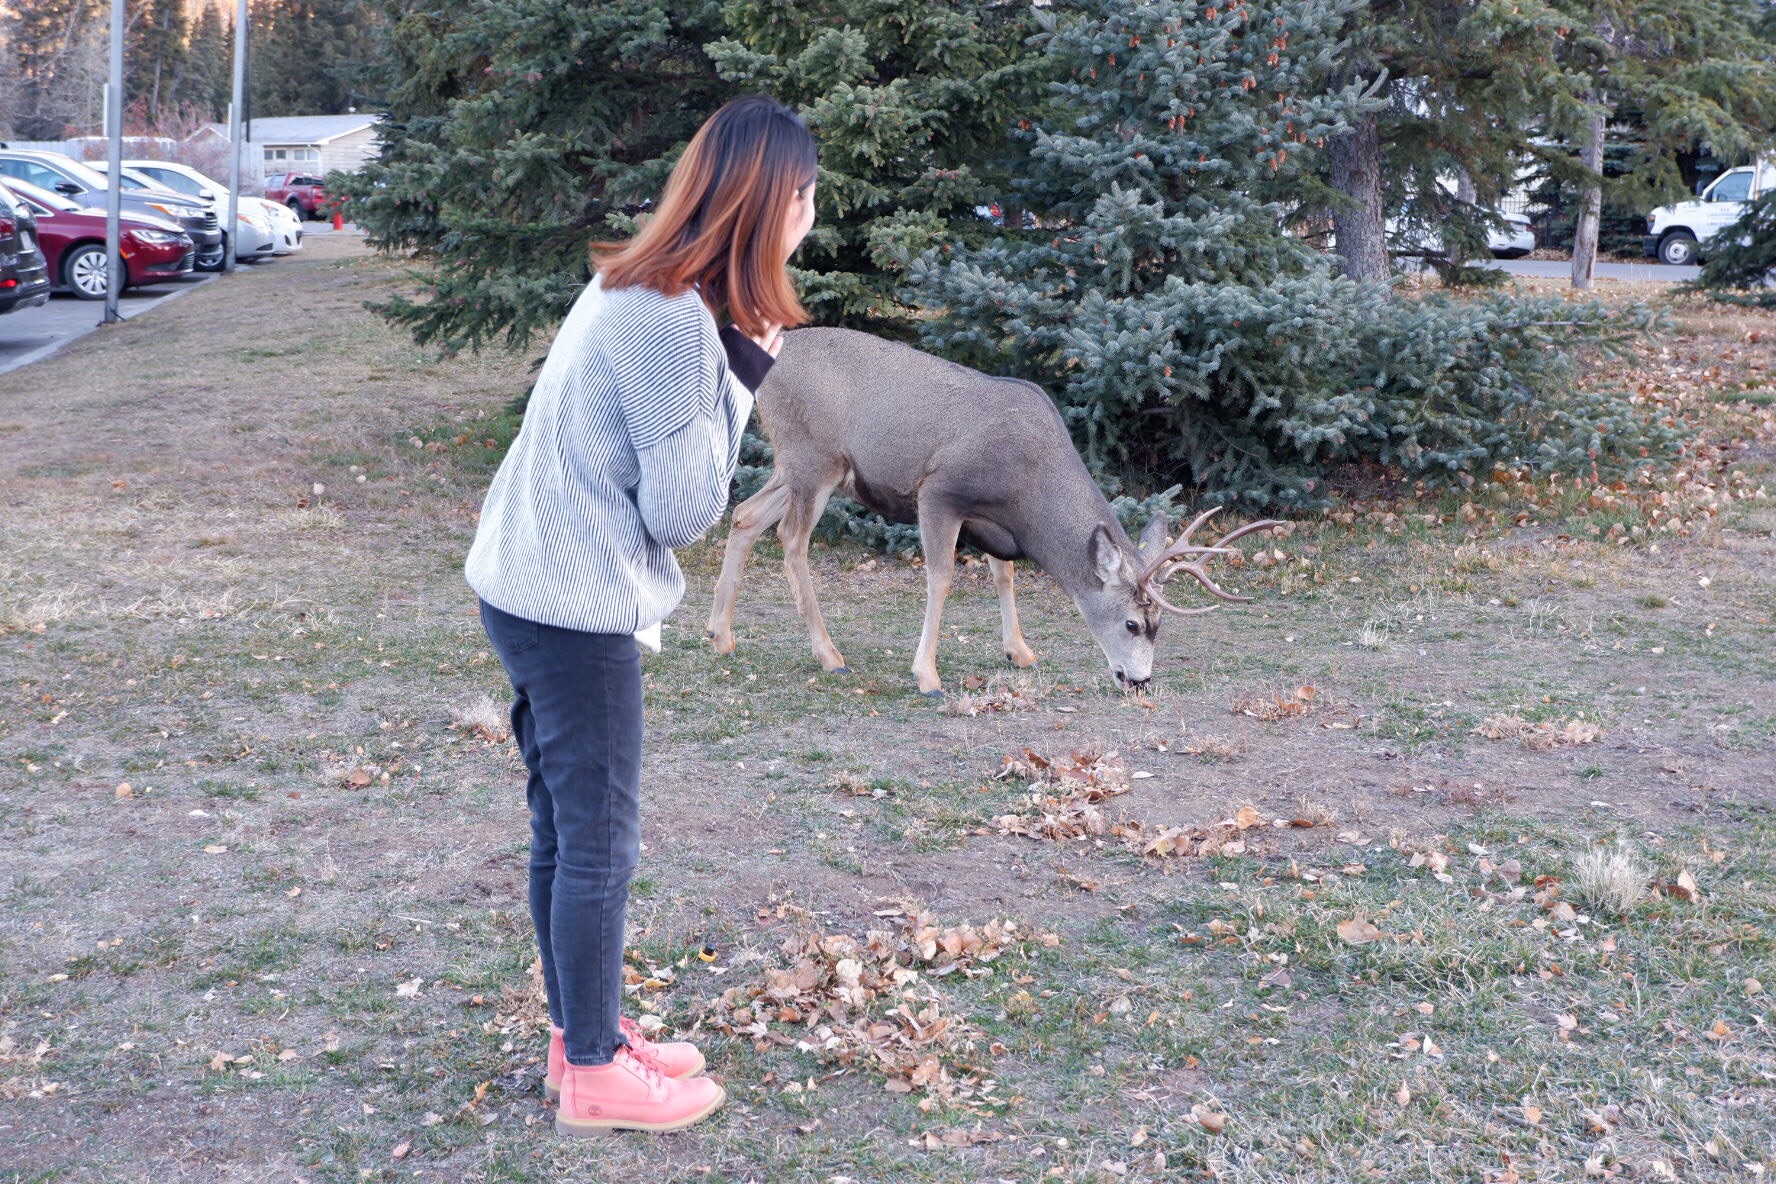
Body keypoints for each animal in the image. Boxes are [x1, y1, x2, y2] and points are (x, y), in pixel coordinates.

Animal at [699, 326, 1285, 695]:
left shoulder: (991, 522)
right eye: (1134, 624)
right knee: (791, 539)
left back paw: (720, 636)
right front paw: (927, 678)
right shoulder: (939, 491)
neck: (1028, 485)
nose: (1139, 681)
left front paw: (1019, 651)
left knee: (746, 515)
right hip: (814, 456)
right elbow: (940, 579)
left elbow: (1004, 575)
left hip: (797, 465)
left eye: (1160, 624)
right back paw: (829, 655)